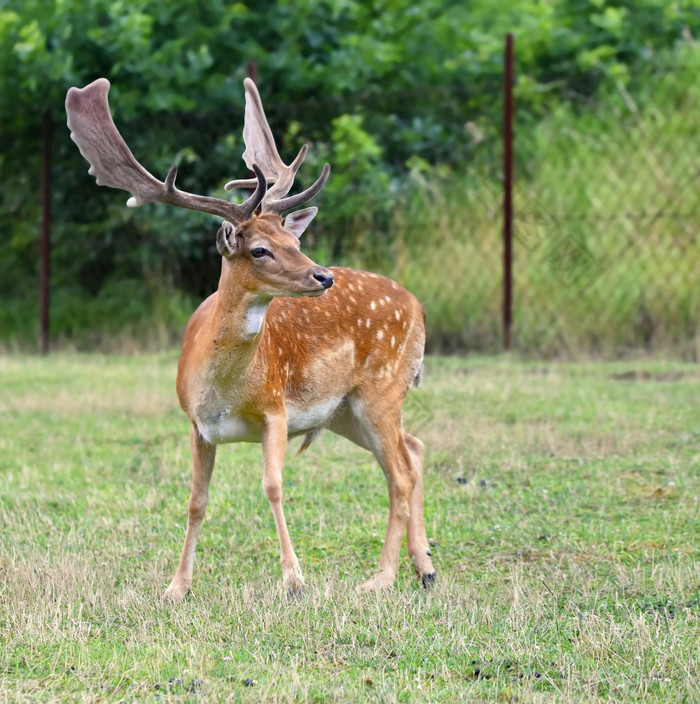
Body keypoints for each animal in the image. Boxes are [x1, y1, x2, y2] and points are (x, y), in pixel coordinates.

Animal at [67, 75, 438, 600]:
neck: (224, 390)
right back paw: (424, 566)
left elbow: (273, 486)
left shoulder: (276, 408)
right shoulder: (196, 424)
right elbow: (196, 501)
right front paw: (176, 587)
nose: (323, 275)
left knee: (400, 473)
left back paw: (381, 578)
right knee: (415, 450)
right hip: (346, 410)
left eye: (294, 241)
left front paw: (295, 580)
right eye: (260, 249)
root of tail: (418, 306)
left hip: (381, 388)